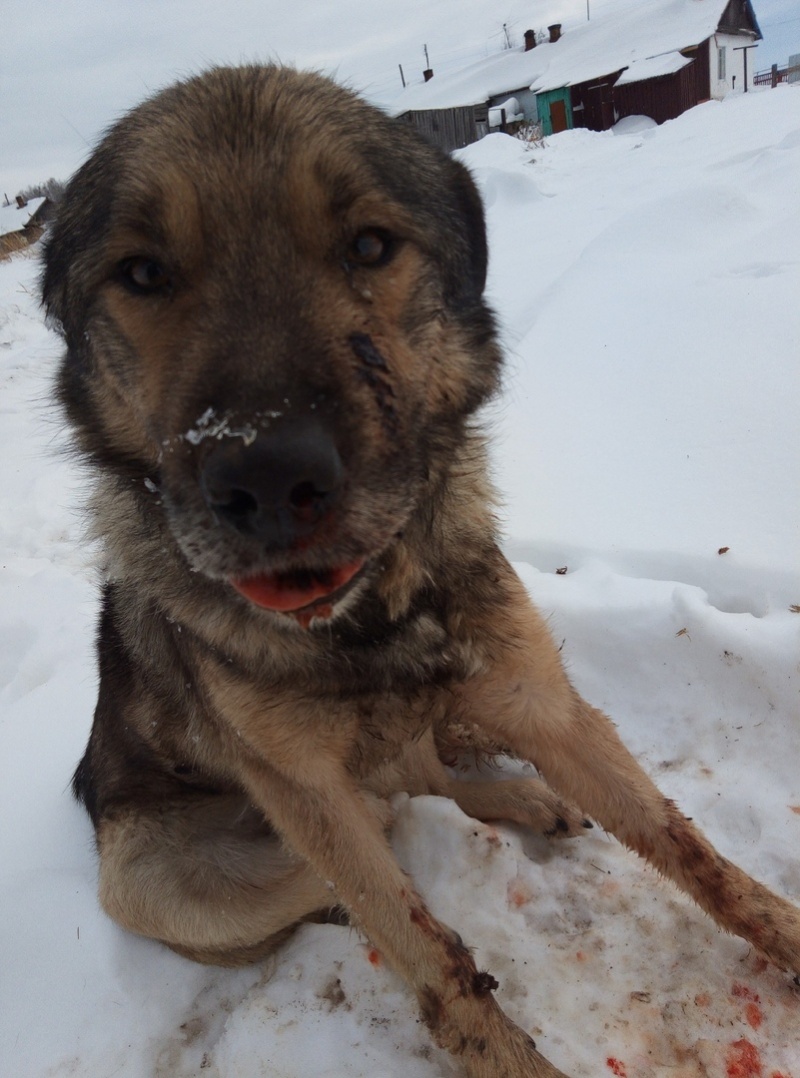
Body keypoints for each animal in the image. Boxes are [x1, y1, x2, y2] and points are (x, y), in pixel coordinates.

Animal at [45, 65, 800, 1069]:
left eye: (370, 245)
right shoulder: (310, 798)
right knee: (388, 823)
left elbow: (690, 849)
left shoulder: (538, 699)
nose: (269, 478)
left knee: (422, 782)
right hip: (154, 878)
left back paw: (520, 797)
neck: (364, 618)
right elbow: (431, 956)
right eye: (142, 273)